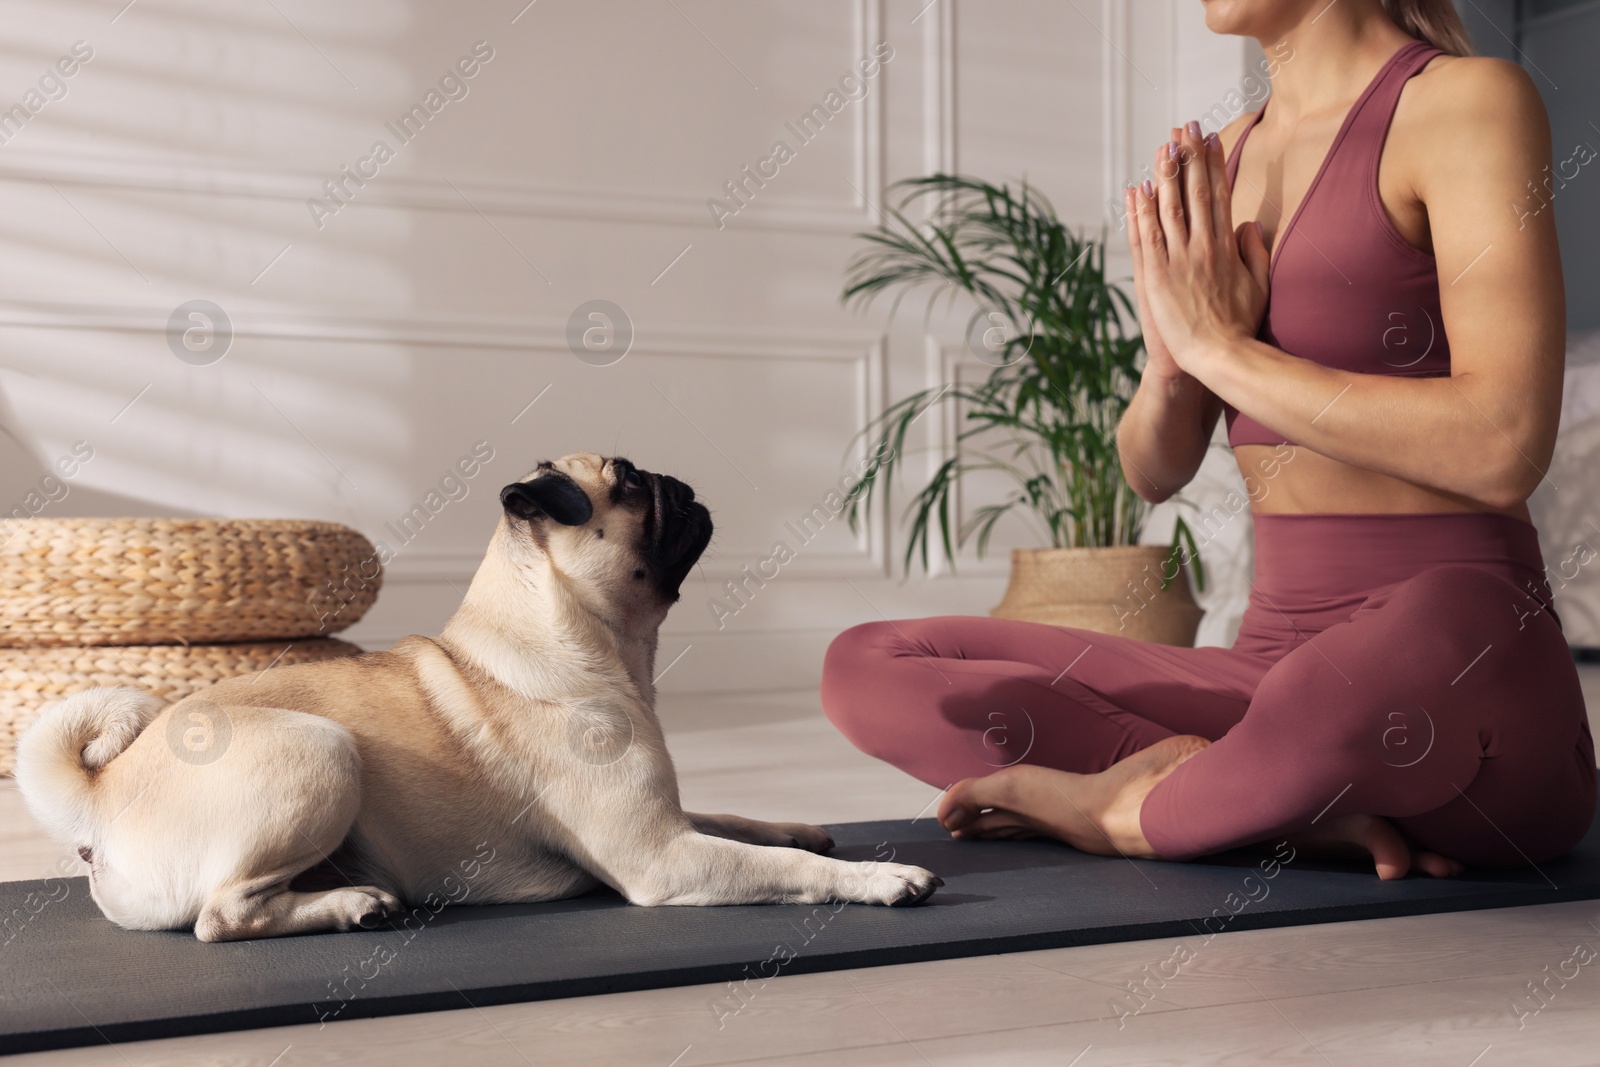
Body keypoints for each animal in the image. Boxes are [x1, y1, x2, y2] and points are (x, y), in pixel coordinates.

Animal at [15, 454, 934, 940]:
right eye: (632, 485)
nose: (678, 479)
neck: (581, 639)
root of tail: (100, 790)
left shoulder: (669, 819)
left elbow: (743, 822)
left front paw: (801, 824)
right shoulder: (658, 854)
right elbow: (789, 868)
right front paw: (880, 876)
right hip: (319, 749)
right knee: (223, 915)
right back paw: (355, 903)